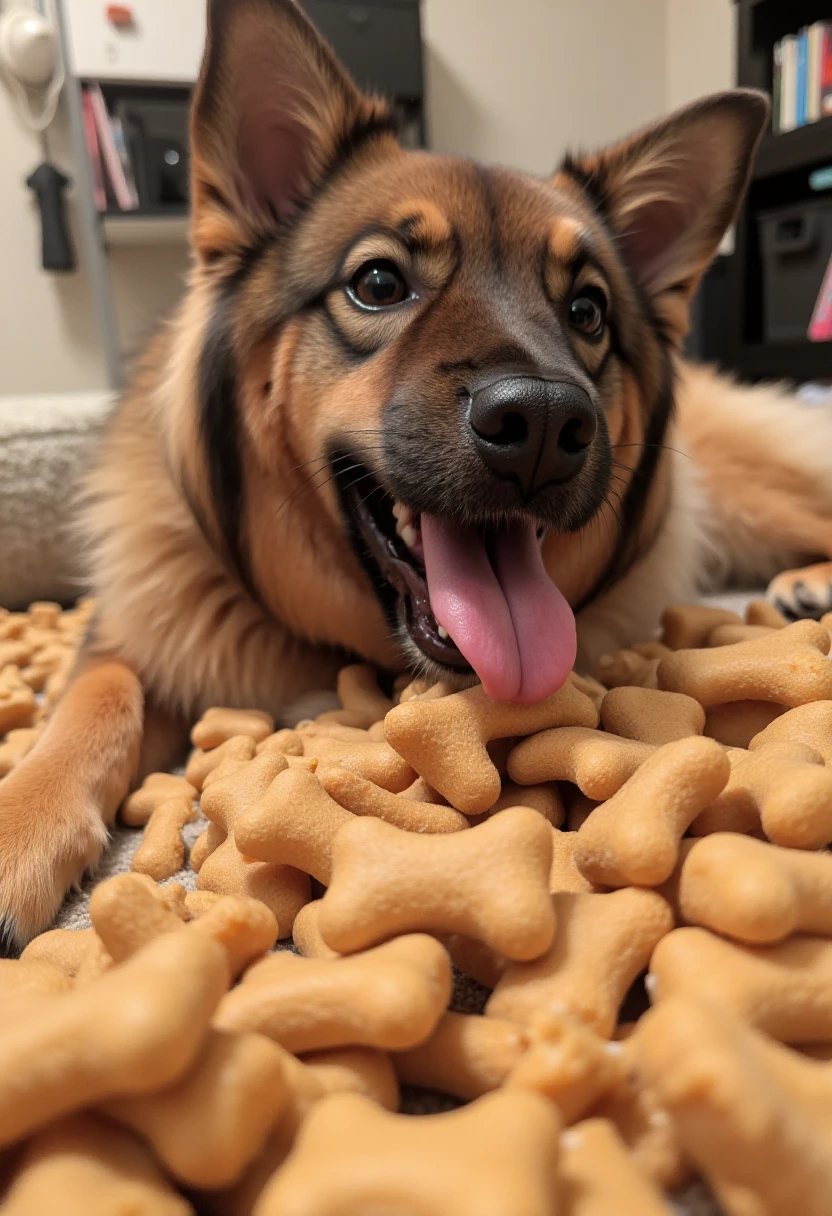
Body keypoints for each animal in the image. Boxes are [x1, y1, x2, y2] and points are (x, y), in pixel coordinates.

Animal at [1, 0, 832, 943]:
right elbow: (95, 703)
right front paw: (20, 823)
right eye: (377, 283)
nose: (545, 423)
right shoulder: (134, 632)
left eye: (587, 310)